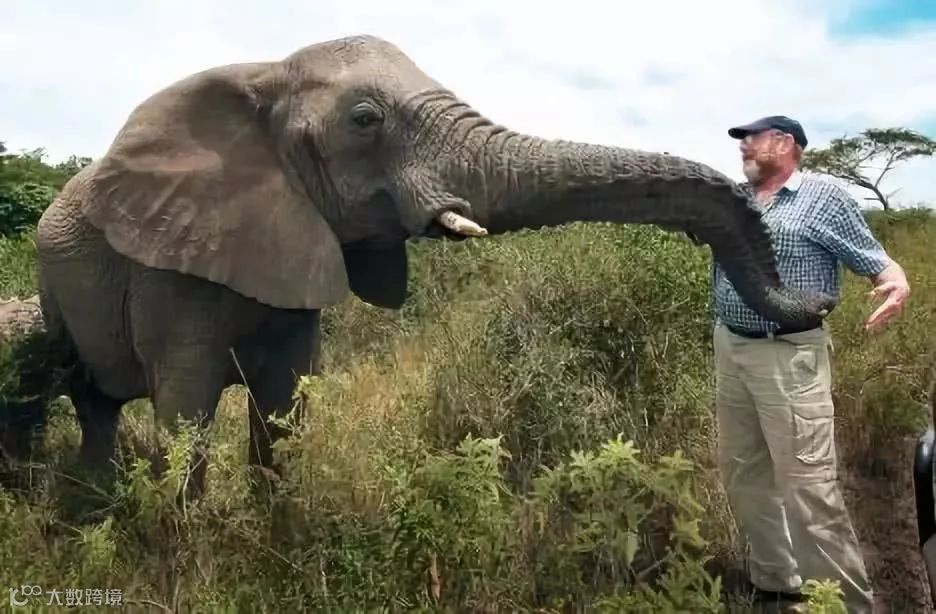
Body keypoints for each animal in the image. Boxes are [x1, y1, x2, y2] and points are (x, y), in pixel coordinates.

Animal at [32, 34, 835, 495]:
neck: (261, 74)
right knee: (88, 401)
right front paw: (185, 549)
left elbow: (285, 409)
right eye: (365, 121)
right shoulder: (169, 266)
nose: (822, 306)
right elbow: (187, 417)